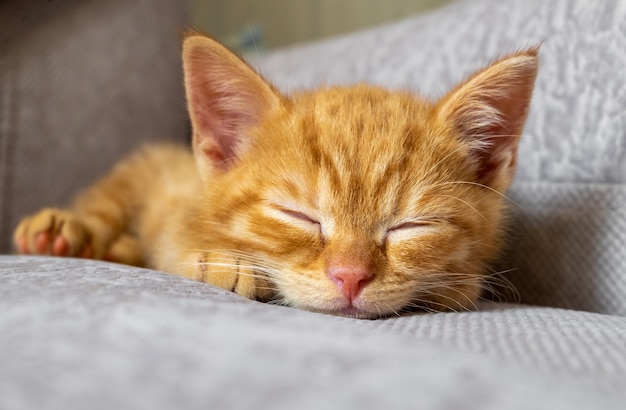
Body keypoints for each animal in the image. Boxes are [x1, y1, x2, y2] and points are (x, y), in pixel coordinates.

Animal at [13, 35, 536, 318]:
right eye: (298, 216)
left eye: (411, 226)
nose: (350, 277)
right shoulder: (171, 188)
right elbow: (176, 232)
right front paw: (221, 257)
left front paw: (454, 285)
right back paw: (65, 231)